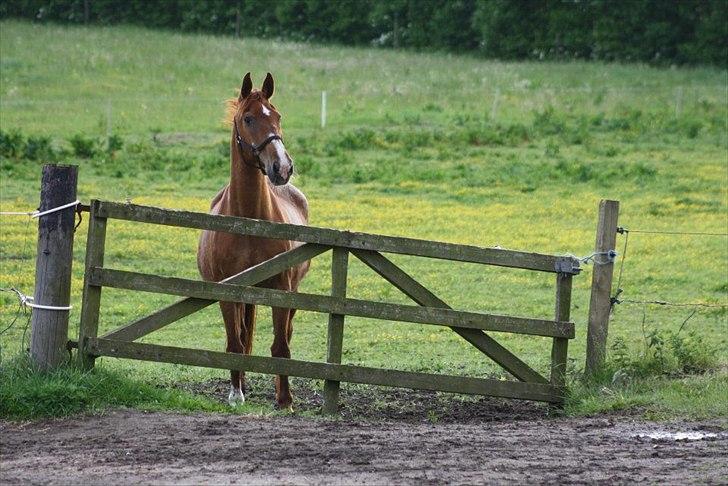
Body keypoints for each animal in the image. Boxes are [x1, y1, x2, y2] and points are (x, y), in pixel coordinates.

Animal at [198, 72, 312, 410]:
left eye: (277, 116)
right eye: (248, 118)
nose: (282, 168)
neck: (248, 221)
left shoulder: (281, 290)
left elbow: (281, 346)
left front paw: (285, 399)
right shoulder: (228, 293)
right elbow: (235, 343)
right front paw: (235, 393)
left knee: (284, 334)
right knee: (242, 336)